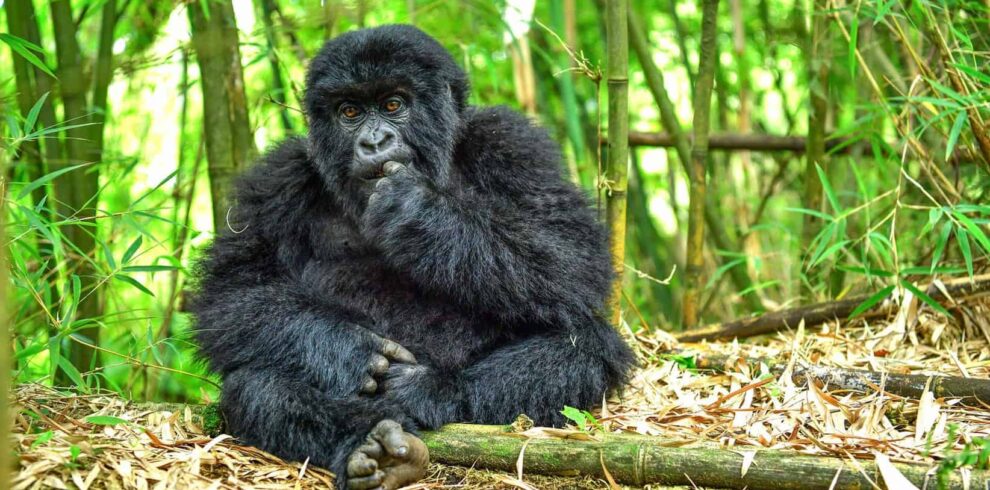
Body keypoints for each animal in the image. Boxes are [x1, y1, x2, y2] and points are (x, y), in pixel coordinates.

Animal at [194, 23, 636, 490]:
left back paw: (433, 389)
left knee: (588, 346)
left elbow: (574, 258)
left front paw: (416, 213)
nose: (375, 141)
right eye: (349, 112)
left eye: (393, 105)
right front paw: (347, 350)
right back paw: (371, 446)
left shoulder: (513, 143)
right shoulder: (278, 177)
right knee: (254, 383)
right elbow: (234, 293)